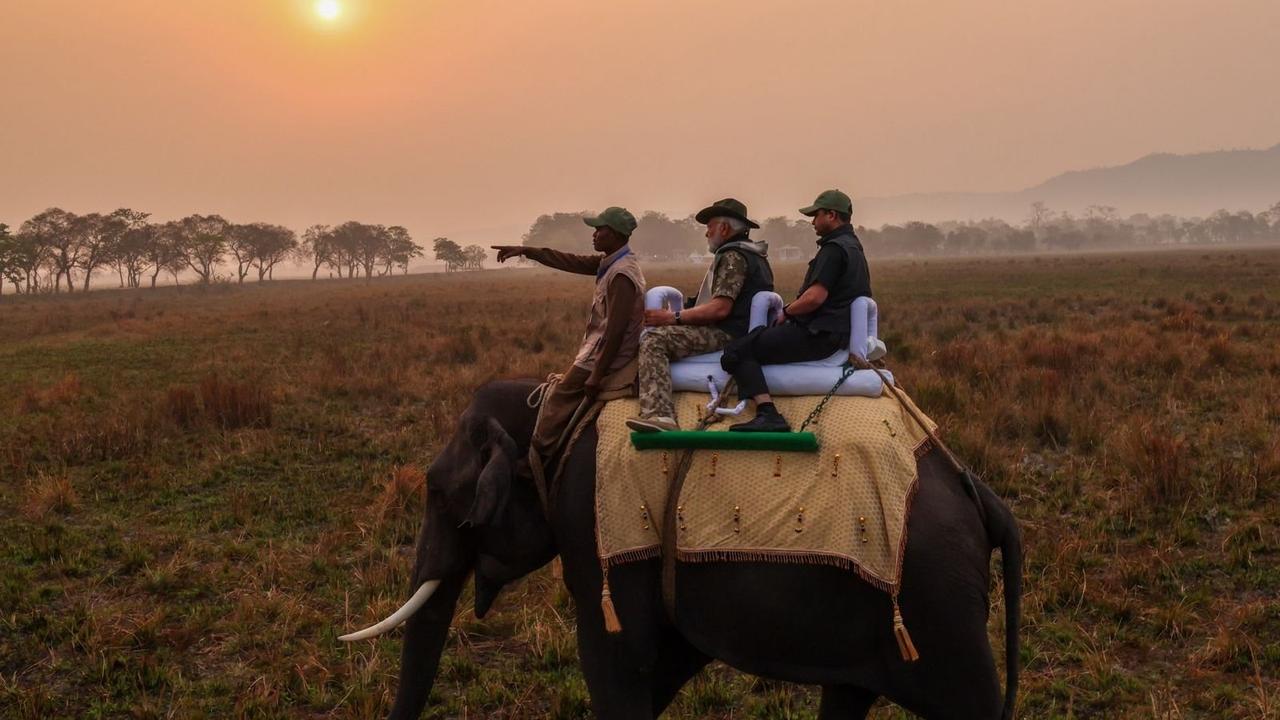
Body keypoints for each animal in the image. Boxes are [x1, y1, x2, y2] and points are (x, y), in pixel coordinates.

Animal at [340, 379, 1018, 712]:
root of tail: (978, 491)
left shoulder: (591, 525)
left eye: (436, 491)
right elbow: (659, 663)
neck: (552, 410)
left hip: (939, 605)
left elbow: (617, 663)